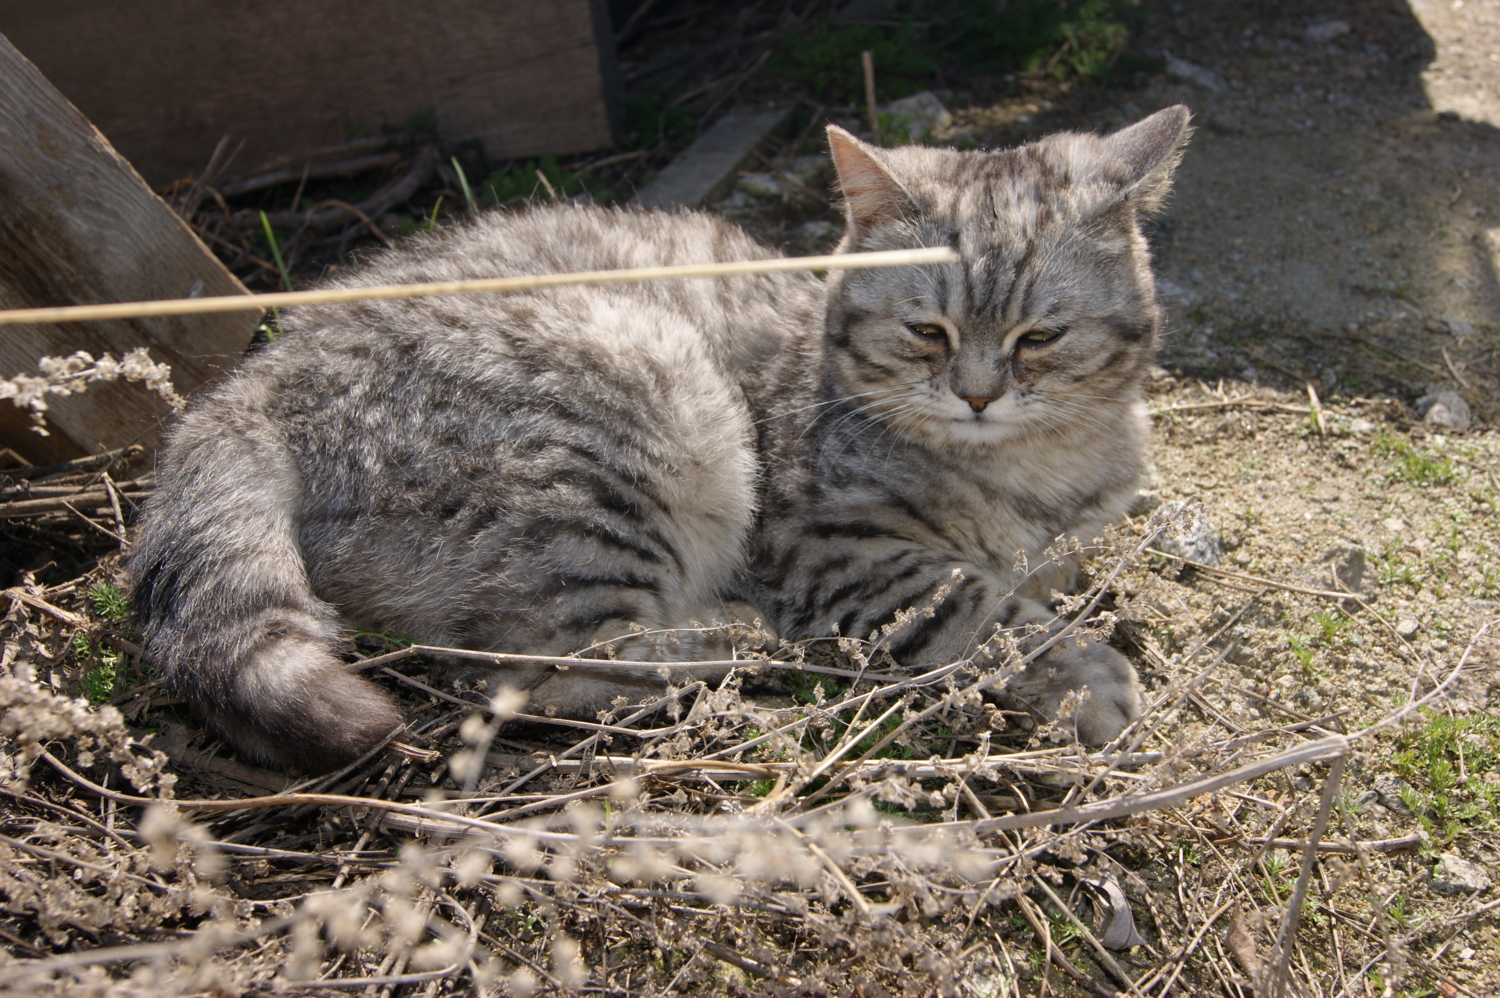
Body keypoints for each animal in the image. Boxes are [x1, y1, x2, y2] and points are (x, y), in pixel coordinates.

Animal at [129, 105, 1188, 768]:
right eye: (928, 331)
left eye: (1039, 338)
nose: (976, 396)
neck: (1030, 471)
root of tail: (262, 374)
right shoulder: (833, 554)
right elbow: (983, 610)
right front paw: (1086, 672)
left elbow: (1037, 577)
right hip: (643, 410)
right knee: (529, 668)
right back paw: (738, 644)